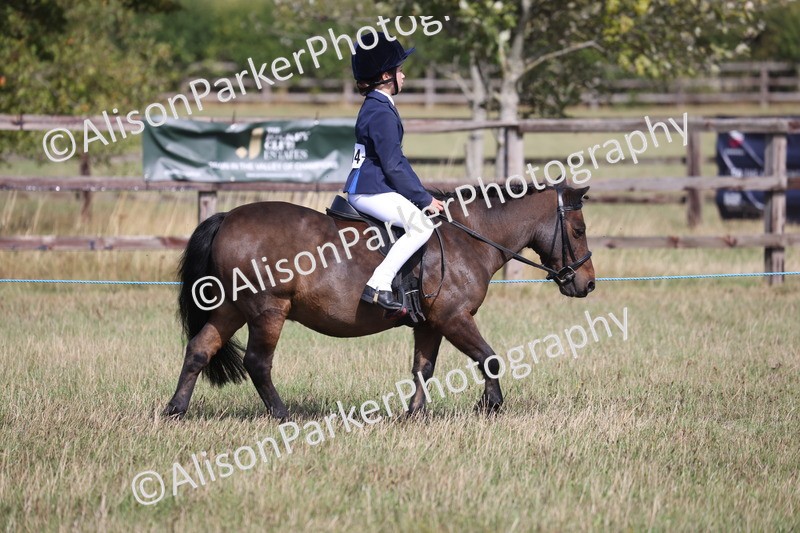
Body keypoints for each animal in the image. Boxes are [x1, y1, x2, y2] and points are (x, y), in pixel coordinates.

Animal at [164, 184, 595, 419]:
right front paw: (490, 406)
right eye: (578, 230)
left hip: (231, 309)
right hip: (268, 311)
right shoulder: (454, 318)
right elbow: (489, 357)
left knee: (199, 349)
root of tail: (228, 217)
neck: (469, 237)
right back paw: (283, 416)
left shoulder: (430, 324)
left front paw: (414, 415)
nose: (587, 284)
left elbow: (423, 368)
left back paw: (175, 410)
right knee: (258, 362)